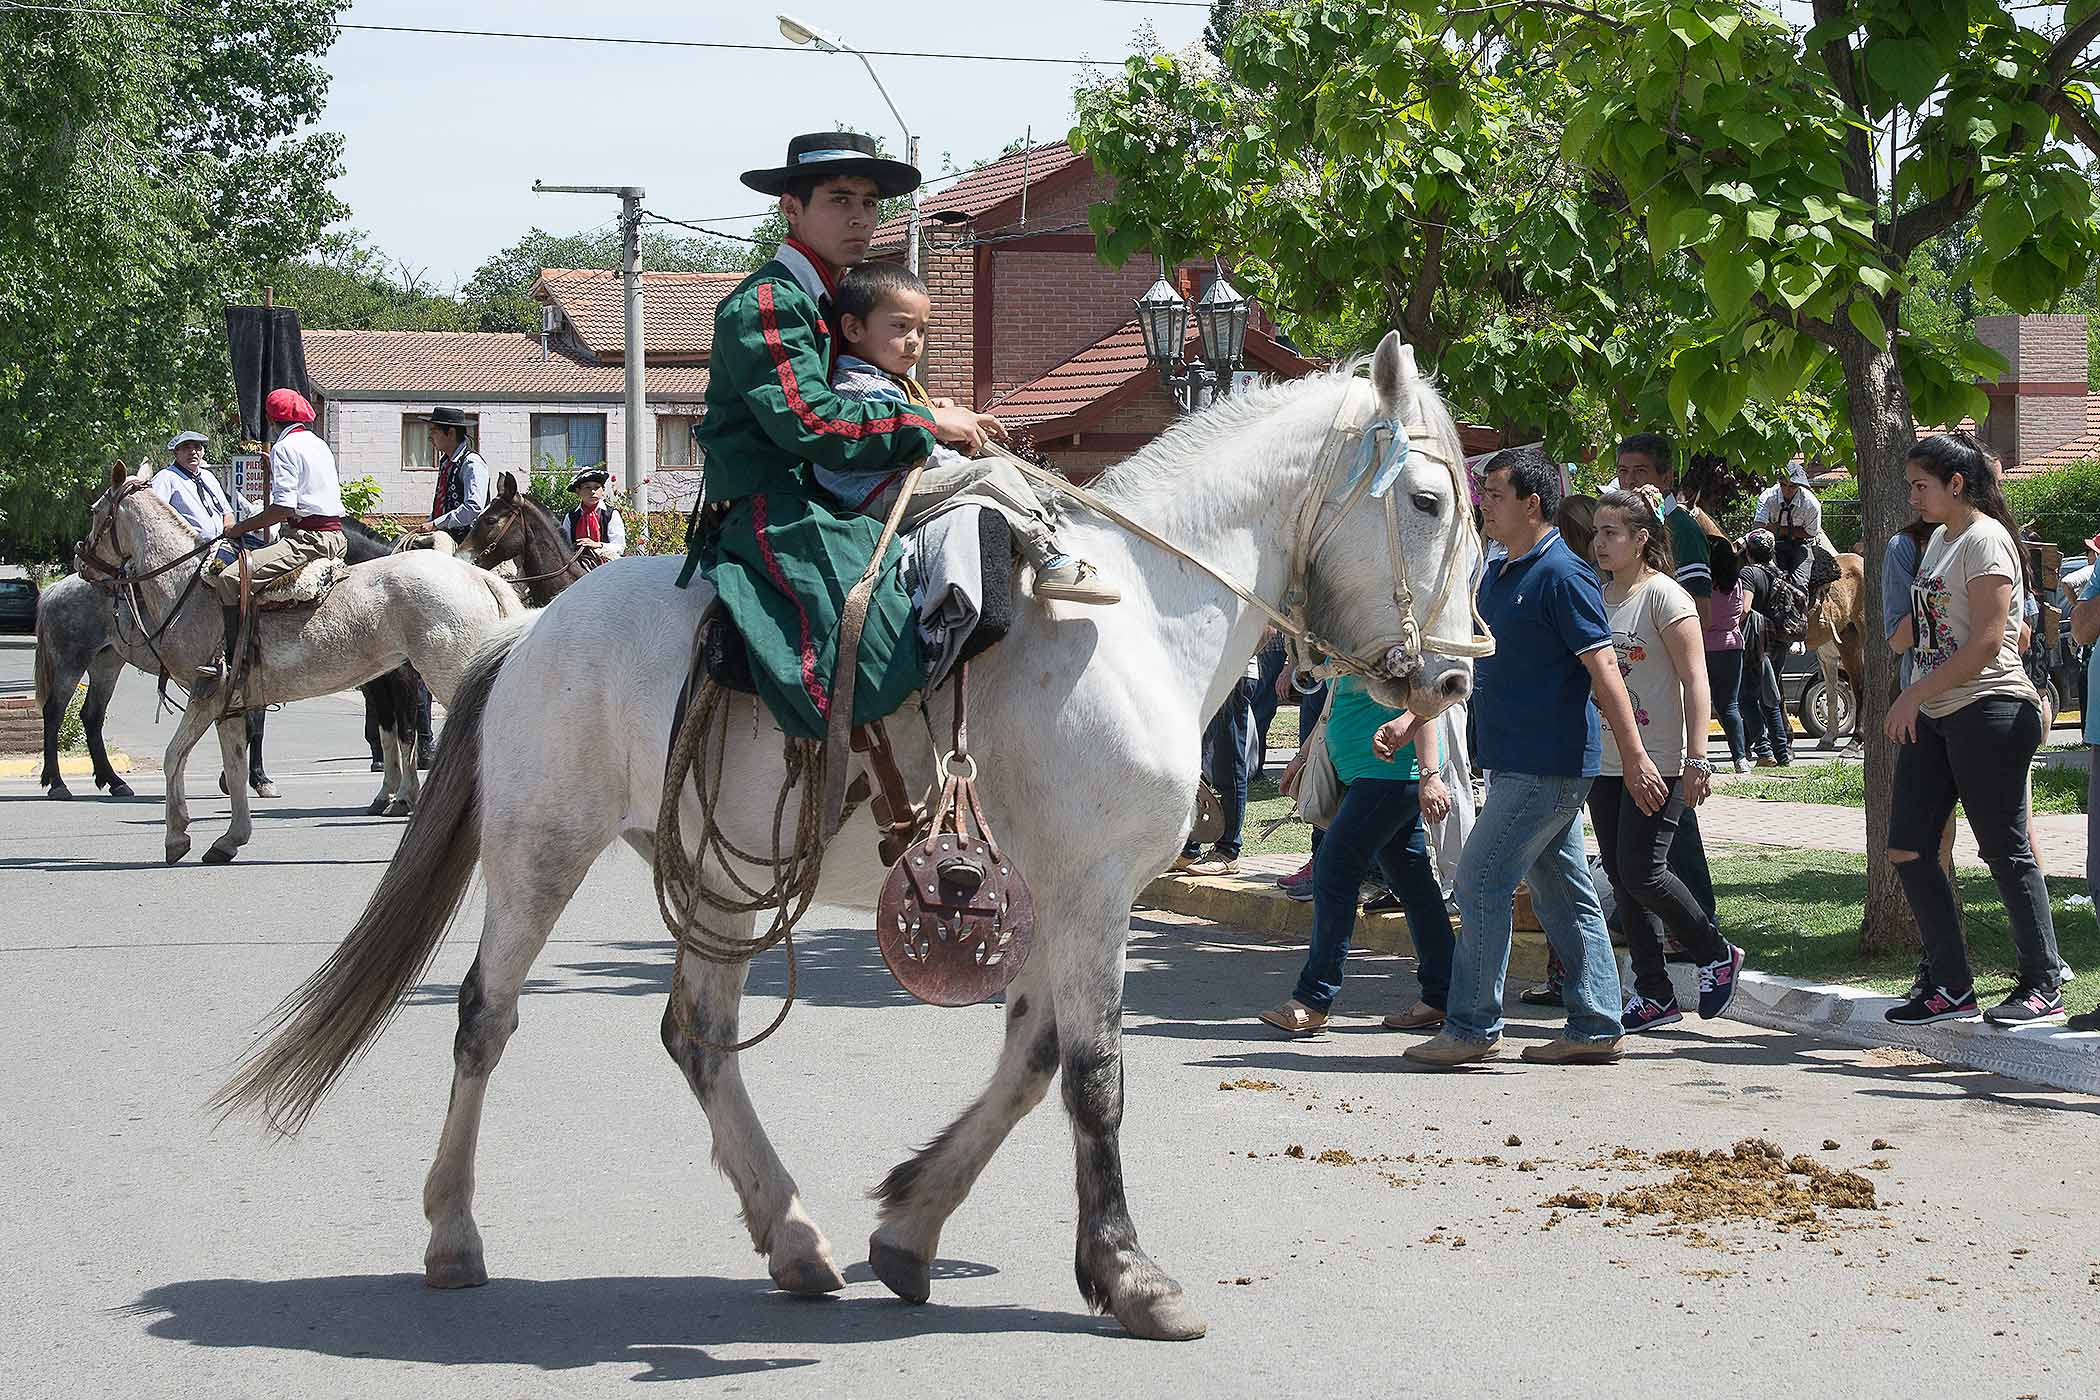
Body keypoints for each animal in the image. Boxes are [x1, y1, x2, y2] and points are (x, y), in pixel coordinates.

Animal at [90, 465, 529, 860]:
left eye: (96, 512)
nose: (82, 561)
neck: (190, 587)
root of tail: (478, 577)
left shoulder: (206, 696)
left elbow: (173, 757)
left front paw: (177, 836)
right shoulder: (229, 706)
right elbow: (234, 767)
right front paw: (230, 838)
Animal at [217, 335, 1478, 1343]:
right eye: (1425, 499)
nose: (1459, 676)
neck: (1140, 615)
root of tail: (523, 628)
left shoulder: (1057, 896)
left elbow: (1030, 1062)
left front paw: (912, 1224)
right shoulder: (1090, 890)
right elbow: (1093, 1075)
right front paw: (1130, 1274)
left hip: (716, 875)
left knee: (697, 1034)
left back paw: (792, 1233)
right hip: (540, 851)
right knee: (487, 1015)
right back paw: (453, 1230)